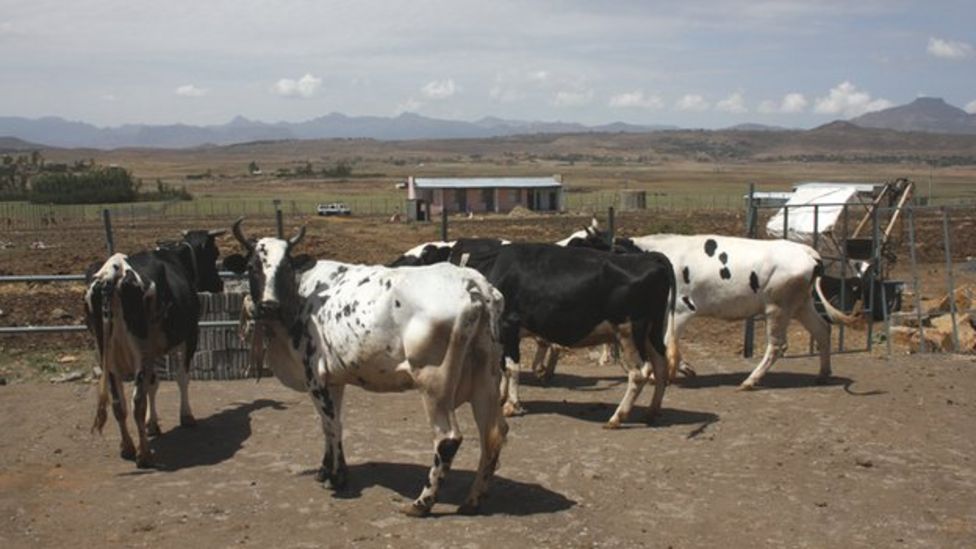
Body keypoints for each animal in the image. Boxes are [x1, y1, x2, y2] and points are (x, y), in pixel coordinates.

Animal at [83, 227, 227, 466]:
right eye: (214, 252)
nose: (219, 284)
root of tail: (114, 273)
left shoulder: (153, 350)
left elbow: (154, 383)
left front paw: (153, 425)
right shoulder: (190, 336)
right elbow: (181, 378)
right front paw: (186, 416)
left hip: (107, 356)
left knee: (119, 404)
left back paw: (128, 447)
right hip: (139, 353)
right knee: (137, 402)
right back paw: (144, 454)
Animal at [226, 216, 508, 516]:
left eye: (286, 266)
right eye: (252, 266)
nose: (269, 306)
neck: (303, 298)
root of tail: (472, 282)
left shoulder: (315, 377)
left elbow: (331, 425)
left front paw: (337, 478)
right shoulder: (333, 380)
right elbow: (331, 424)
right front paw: (327, 471)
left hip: (435, 386)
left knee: (448, 439)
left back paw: (421, 503)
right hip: (485, 379)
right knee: (493, 433)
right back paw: (473, 499)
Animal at [556, 223, 860, 390]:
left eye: (577, 242)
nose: (555, 246)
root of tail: (809, 253)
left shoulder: (679, 311)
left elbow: (668, 343)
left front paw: (663, 372)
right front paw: (682, 369)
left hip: (778, 307)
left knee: (777, 346)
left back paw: (750, 381)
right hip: (800, 305)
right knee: (822, 330)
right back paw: (823, 374)